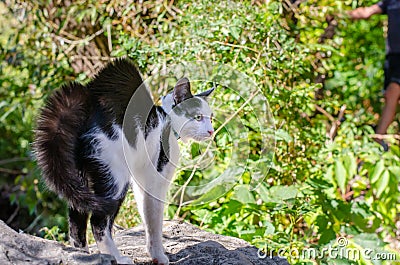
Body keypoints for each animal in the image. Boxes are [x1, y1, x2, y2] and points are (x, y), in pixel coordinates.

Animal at [34, 58, 214, 262]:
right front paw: (159, 256)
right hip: (116, 178)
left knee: (76, 219)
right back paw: (117, 258)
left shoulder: (141, 181)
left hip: (79, 179)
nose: (211, 131)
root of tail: (88, 105)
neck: (166, 120)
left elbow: (146, 215)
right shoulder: (156, 181)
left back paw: (83, 257)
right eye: (197, 117)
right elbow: (155, 221)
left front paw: (152, 251)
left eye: (210, 118)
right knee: (98, 221)